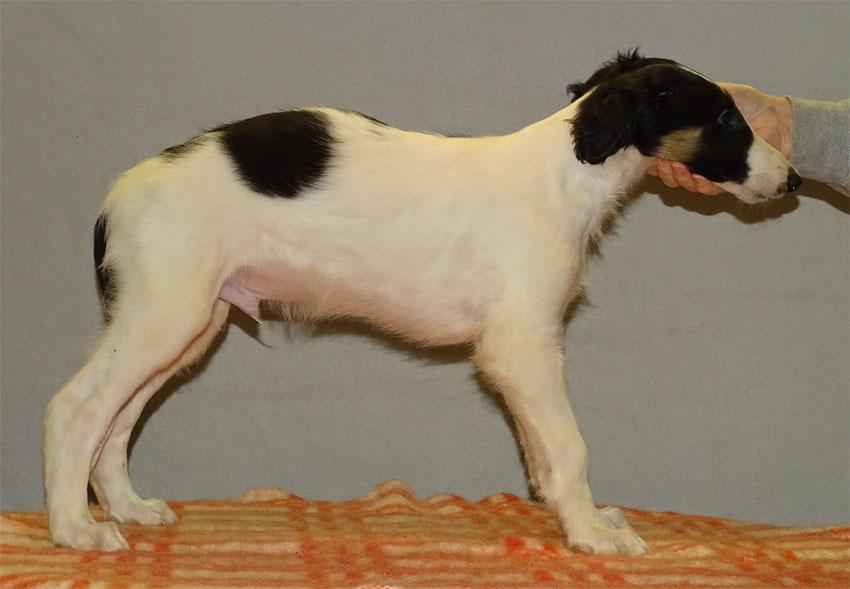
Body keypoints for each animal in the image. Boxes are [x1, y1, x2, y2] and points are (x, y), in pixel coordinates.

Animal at [43, 50, 801, 555]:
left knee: (116, 419)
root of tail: (118, 196)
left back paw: (127, 509)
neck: (565, 174)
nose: (793, 179)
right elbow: (569, 444)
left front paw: (577, 520)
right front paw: (592, 534)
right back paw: (73, 528)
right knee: (75, 408)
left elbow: (541, 455)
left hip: (188, 323)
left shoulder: (522, 354)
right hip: (165, 315)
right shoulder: (522, 347)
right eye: (727, 117)